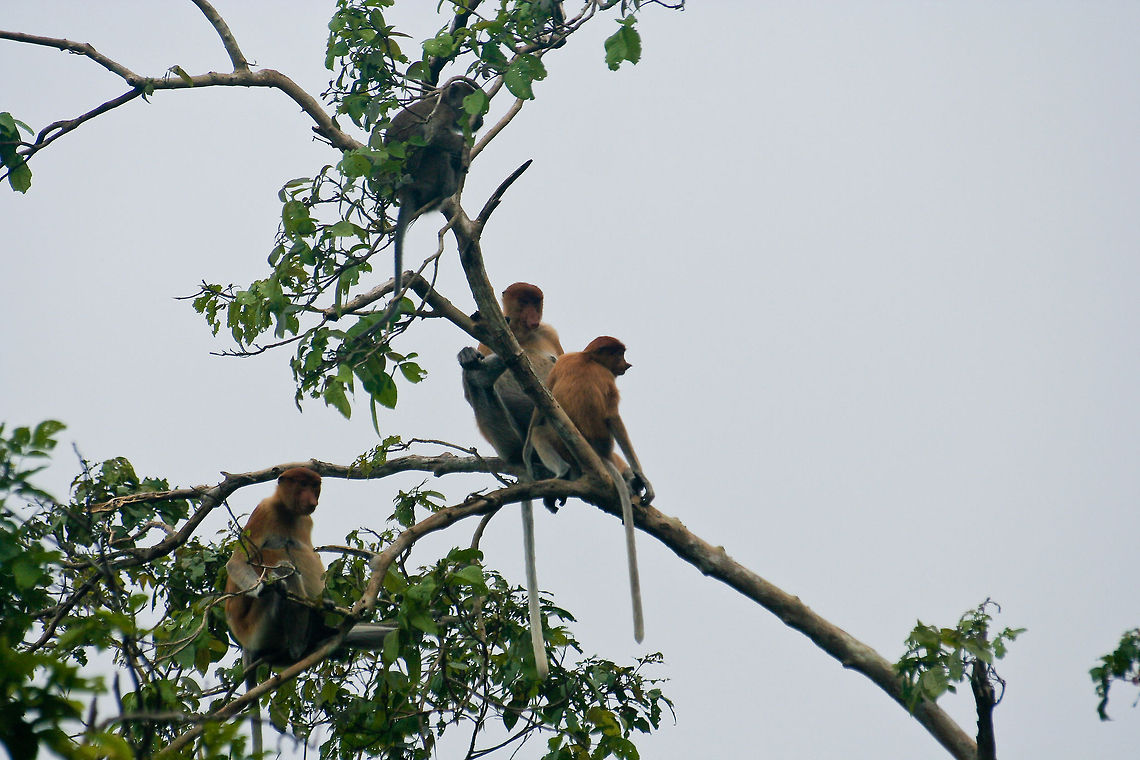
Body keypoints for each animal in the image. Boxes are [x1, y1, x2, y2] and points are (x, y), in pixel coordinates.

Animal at [224, 467, 394, 753]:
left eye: (314, 487)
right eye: (302, 485)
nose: (312, 499)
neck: (288, 512)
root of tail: (245, 642)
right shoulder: (265, 512)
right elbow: (236, 562)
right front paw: (263, 588)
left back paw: (323, 633)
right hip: (259, 628)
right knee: (284, 565)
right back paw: (299, 646)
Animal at [384, 77, 484, 296]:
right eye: (471, 100)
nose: (480, 119)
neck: (444, 102)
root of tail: (406, 191)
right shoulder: (442, 113)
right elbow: (434, 136)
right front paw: (463, 146)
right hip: (425, 175)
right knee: (436, 149)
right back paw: (450, 186)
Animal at [457, 282, 563, 679]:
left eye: (538, 302)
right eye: (525, 300)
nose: (533, 314)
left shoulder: (550, 332)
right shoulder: (487, 337)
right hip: (509, 442)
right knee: (479, 389)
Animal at [523, 336, 654, 643]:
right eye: (619, 355)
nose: (627, 364)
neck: (586, 358)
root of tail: (595, 451)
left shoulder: (564, 362)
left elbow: (542, 398)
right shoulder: (606, 378)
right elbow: (614, 418)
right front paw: (643, 478)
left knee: (540, 428)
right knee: (544, 432)